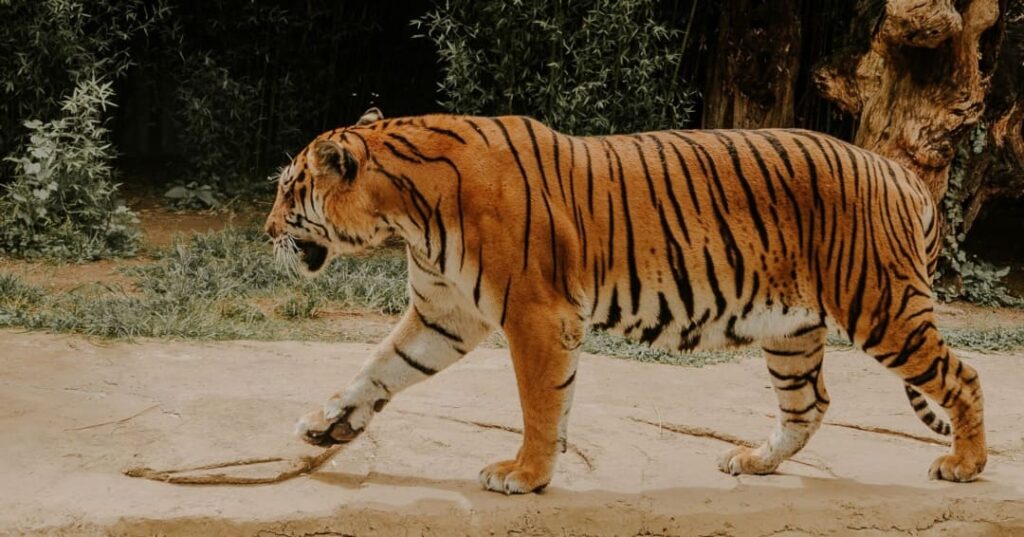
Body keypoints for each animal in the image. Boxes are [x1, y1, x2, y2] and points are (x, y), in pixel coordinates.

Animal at [264, 107, 986, 494]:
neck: (404, 214)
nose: (267, 231)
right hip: (791, 328)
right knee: (808, 404)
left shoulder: (536, 314)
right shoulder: (445, 315)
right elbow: (379, 368)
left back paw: (965, 464)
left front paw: (525, 474)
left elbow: (538, 404)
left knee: (963, 376)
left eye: (289, 189)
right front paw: (325, 426)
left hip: (880, 304)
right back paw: (752, 460)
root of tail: (899, 171)